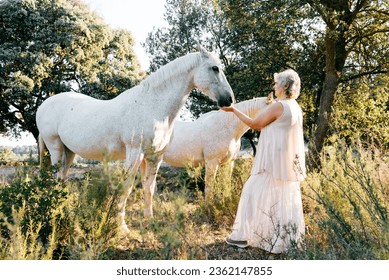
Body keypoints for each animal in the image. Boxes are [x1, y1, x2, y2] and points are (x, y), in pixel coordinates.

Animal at [34, 46, 232, 230]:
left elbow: (149, 187)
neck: (151, 106)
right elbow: (127, 187)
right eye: (215, 68)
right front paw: (121, 226)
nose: (229, 99)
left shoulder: (154, 156)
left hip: (69, 152)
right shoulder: (135, 153)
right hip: (55, 147)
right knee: (56, 178)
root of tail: (44, 105)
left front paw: (149, 221)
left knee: (62, 178)